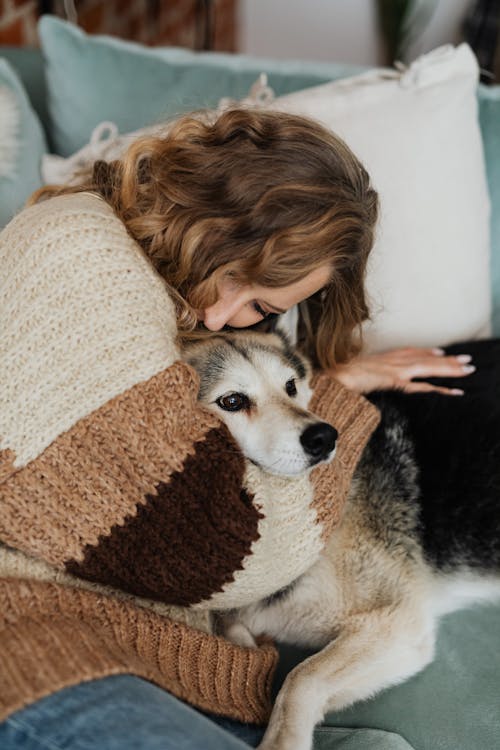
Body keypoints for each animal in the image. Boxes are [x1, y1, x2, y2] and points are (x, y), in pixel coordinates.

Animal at [184, 334, 500, 750]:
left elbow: (300, 679)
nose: (325, 436)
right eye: (232, 401)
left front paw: (282, 739)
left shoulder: (393, 623)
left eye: (290, 386)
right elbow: (236, 633)